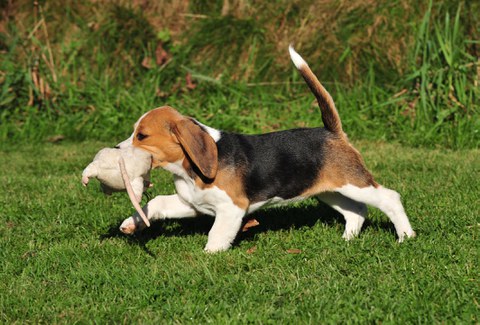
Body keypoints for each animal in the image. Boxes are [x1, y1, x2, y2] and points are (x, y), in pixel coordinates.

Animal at [117, 45, 416, 252]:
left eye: (141, 136)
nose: (117, 148)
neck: (187, 170)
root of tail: (332, 132)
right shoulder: (193, 204)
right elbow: (157, 202)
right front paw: (132, 223)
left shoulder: (232, 208)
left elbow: (216, 235)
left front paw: (208, 256)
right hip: (328, 191)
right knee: (356, 211)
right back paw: (347, 239)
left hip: (353, 183)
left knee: (390, 198)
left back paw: (406, 236)